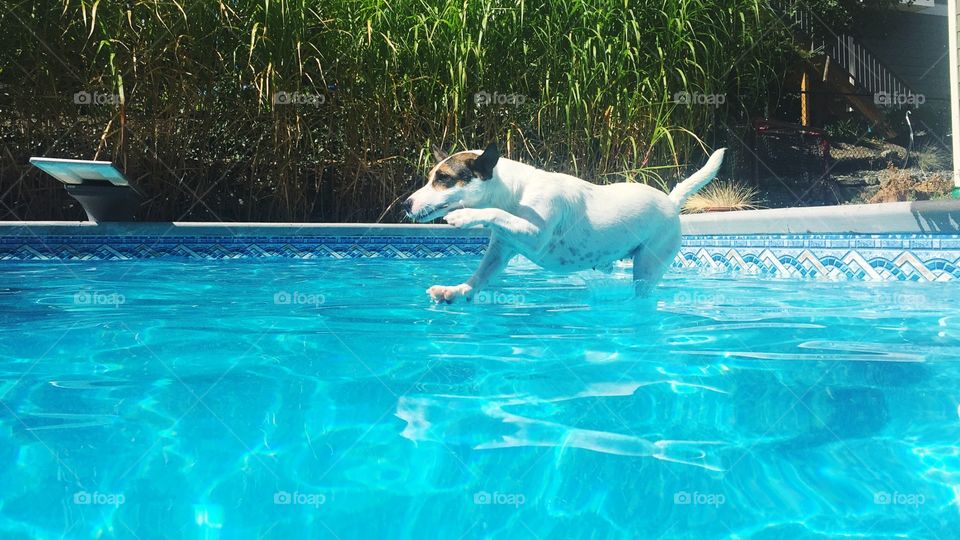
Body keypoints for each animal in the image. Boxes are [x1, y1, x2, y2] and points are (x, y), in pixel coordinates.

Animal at [402, 143, 724, 304]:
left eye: (443, 178)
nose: (405, 204)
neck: (516, 191)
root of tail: (670, 201)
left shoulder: (535, 234)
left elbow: (496, 213)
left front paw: (464, 216)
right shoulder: (501, 249)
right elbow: (479, 276)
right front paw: (455, 292)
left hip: (650, 262)